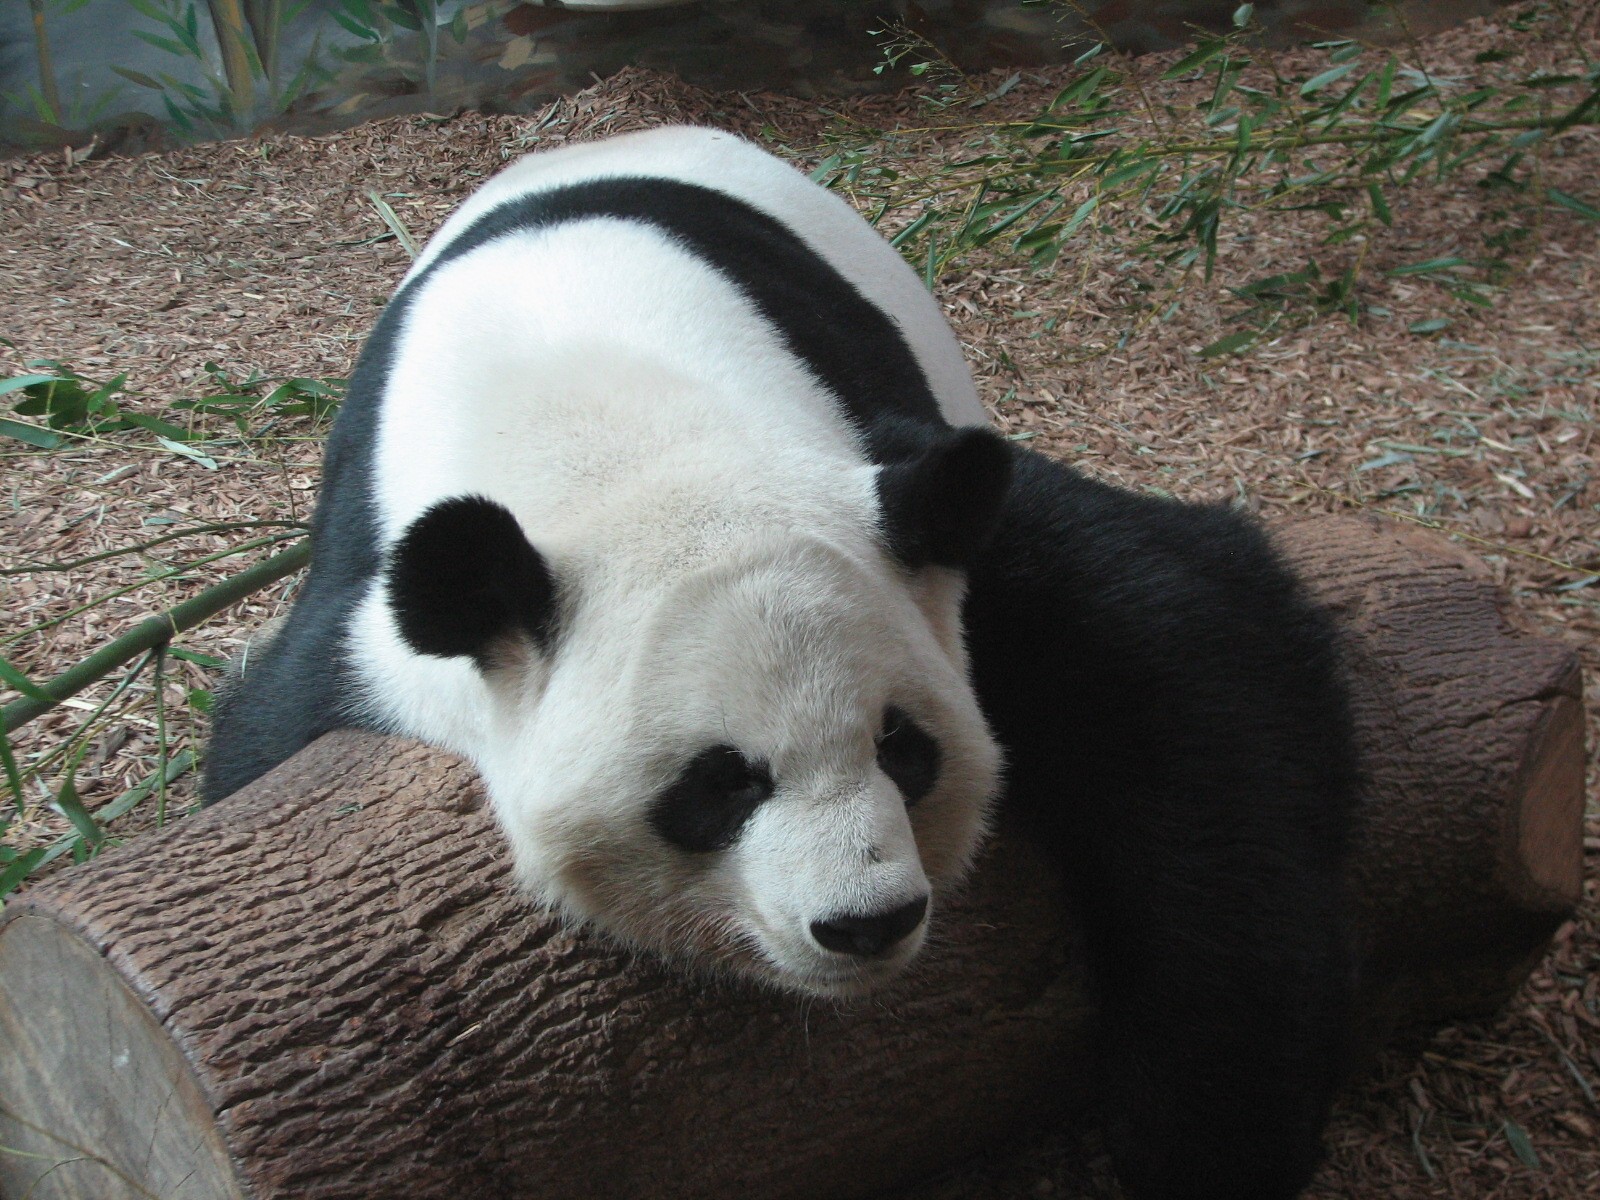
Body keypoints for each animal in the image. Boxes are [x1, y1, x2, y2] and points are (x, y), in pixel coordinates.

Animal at [204, 127, 1357, 1200]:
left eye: (904, 750)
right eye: (717, 784)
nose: (866, 922)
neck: (606, 435)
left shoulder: (889, 486)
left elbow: (1182, 644)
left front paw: (1205, 1136)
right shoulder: (361, 630)